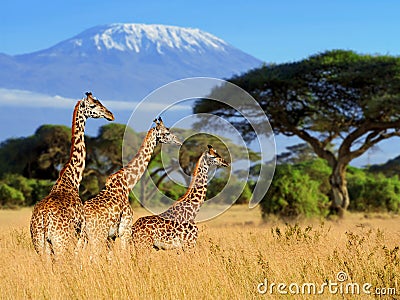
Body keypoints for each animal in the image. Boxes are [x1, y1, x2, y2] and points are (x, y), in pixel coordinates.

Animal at [29, 91, 114, 258]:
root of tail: (44, 220)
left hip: (40, 245)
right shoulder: (80, 233)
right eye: (93, 105)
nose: (110, 114)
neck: (72, 179)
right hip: (62, 242)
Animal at [82, 117, 181, 255]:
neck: (127, 184)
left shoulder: (112, 236)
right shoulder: (125, 230)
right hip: (97, 236)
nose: (178, 141)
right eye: (167, 132)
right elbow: (125, 255)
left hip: (83, 237)